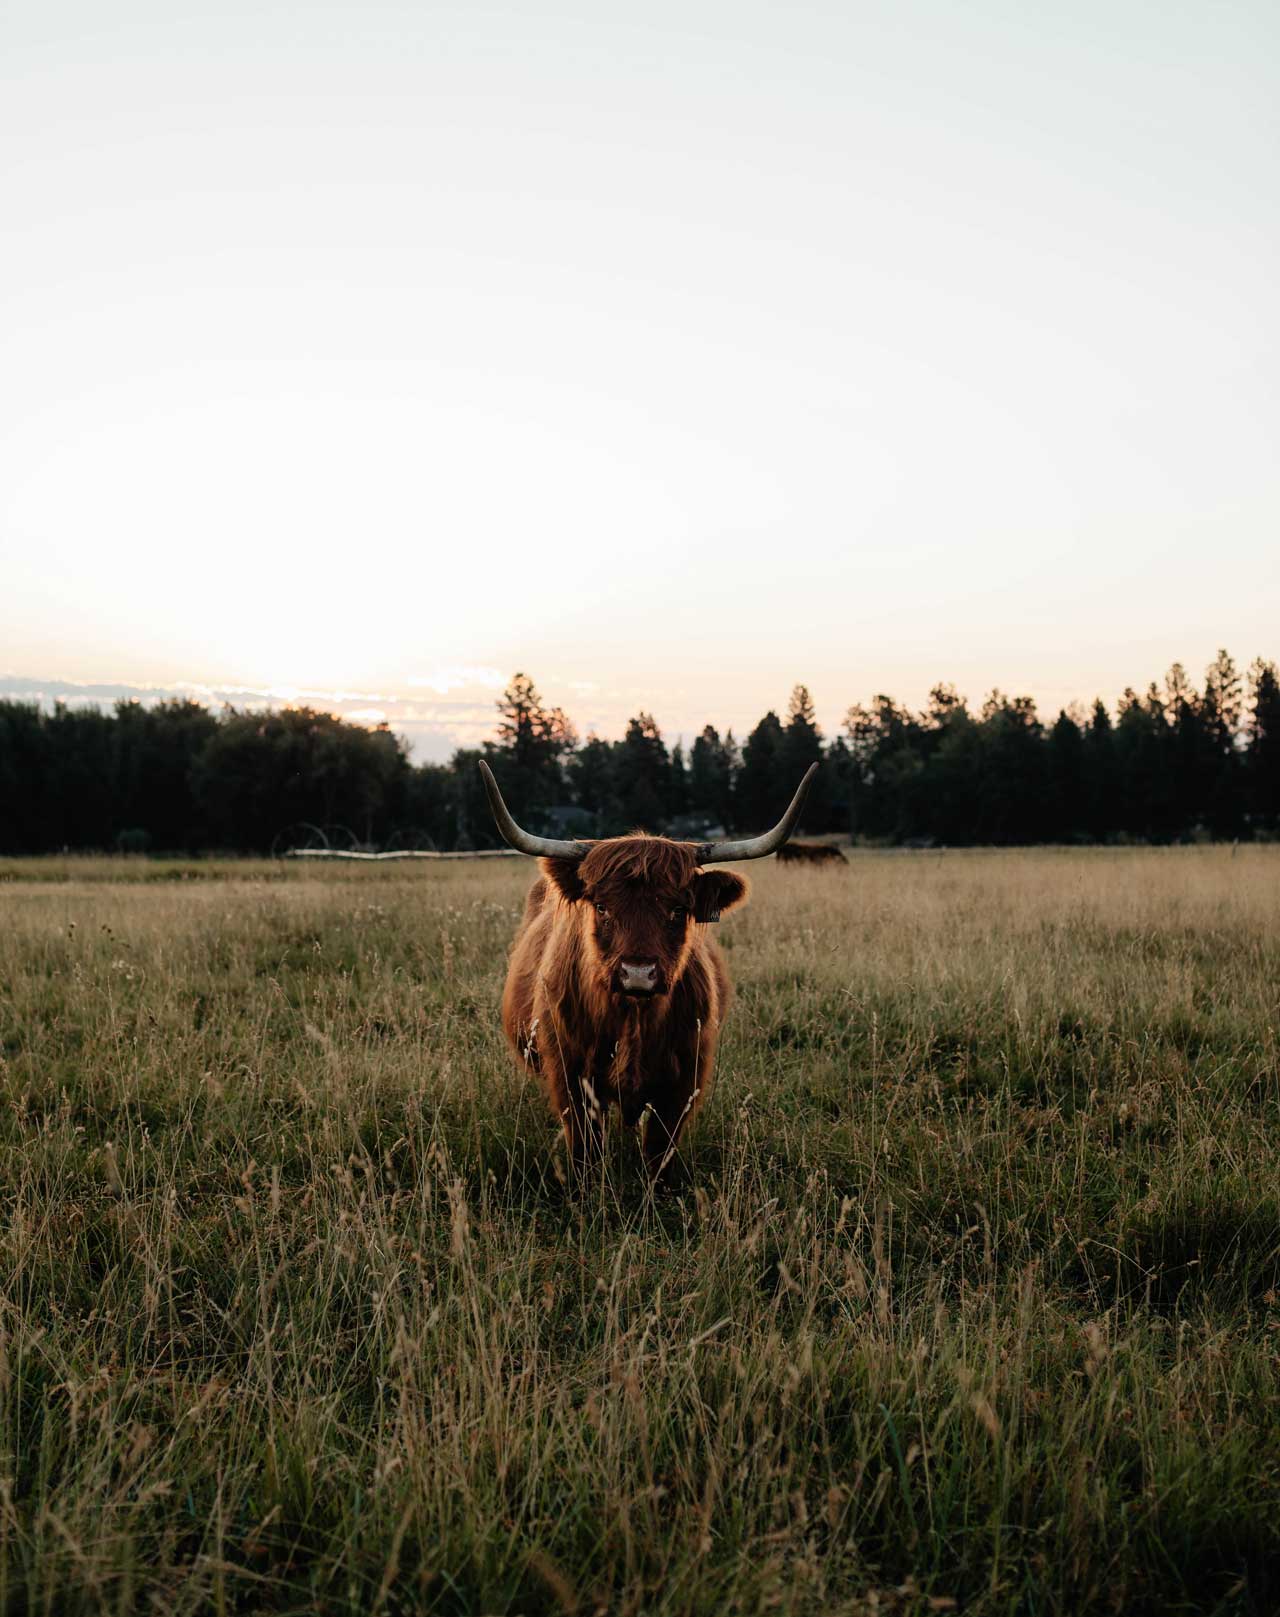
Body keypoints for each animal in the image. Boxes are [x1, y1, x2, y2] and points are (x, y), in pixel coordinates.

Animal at [478, 763, 821, 1183]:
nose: (638, 973)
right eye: (602, 906)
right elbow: (586, 1151)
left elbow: (659, 1155)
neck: (632, 1020)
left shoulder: (682, 1083)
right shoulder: (571, 1078)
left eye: (678, 910)